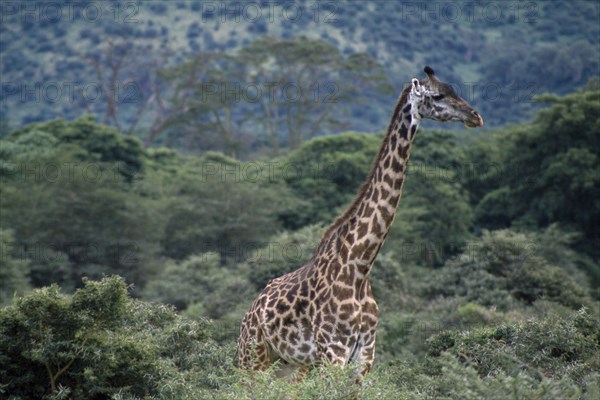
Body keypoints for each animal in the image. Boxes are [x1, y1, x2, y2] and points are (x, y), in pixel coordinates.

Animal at [236, 65, 482, 382]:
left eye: (455, 89)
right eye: (438, 95)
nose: (475, 116)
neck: (360, 268)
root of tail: (249, 312)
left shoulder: (364, 357)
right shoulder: (333, 353)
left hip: (291, 366)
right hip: (253, 359)